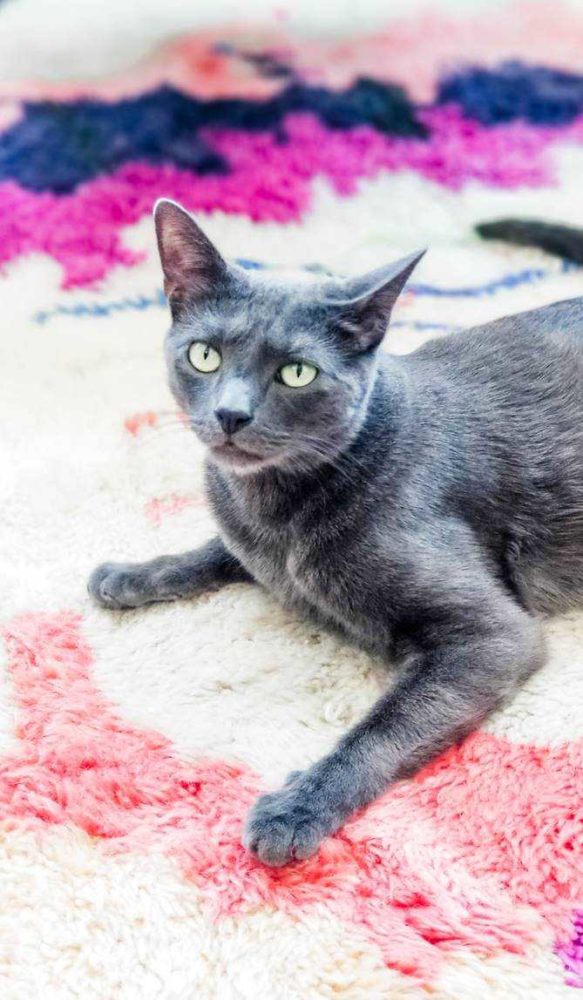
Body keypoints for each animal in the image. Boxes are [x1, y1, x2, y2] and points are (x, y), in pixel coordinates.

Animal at [89, 201, 583, 868]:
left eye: (297, 373)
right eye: (204, 356)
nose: (230, 413)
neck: (274, 511)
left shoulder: (493, 635)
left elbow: (385, 726)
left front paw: (297, 809)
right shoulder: (252, 540)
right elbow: (220, 550)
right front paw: (130, 575)